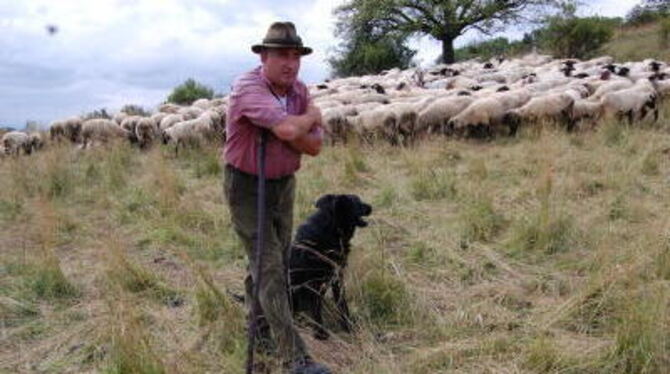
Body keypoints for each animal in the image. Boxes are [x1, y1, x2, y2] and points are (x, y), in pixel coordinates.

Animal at [288, 194, 372, 340]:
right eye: (357, 202)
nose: (371, 207)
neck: (332, 230)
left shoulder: (337, 278)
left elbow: (342, 304)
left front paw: (348, 327)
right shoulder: (314, 283)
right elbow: (316, 309)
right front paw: (320, 333)